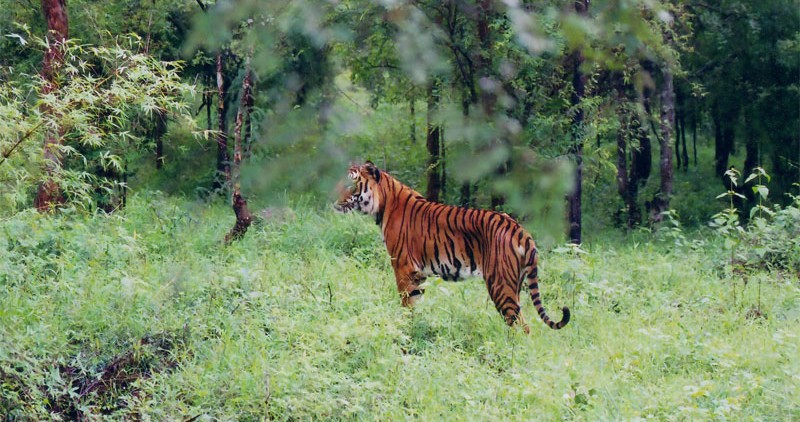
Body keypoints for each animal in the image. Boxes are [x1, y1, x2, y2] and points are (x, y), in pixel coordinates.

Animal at [332, 162, 568, 332]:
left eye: (351, 184)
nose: (333, 200)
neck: (383, 204)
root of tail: (520, 230)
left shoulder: (403, 268)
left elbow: (406, 305)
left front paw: (404, 329)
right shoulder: (418, 275)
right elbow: (416, 304)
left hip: (500, 285)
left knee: (521, 325)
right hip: (514, 284)